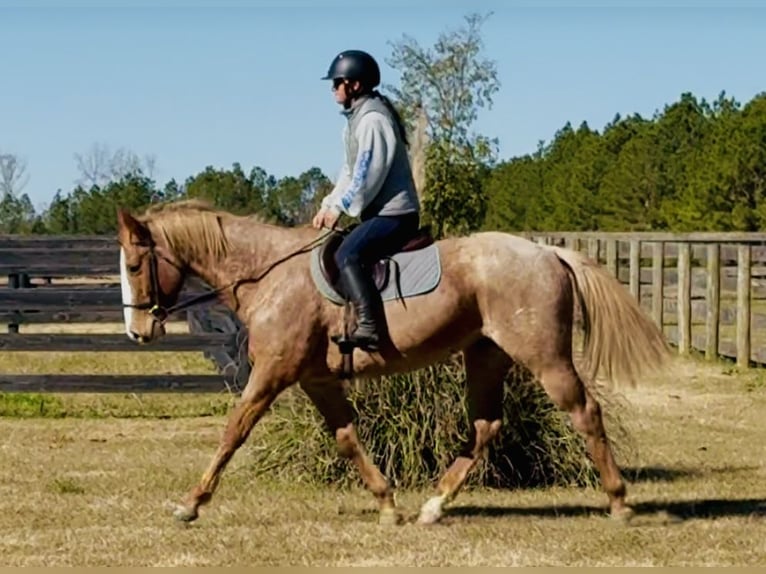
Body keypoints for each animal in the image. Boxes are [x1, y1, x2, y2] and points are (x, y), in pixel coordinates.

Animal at [116, 198, 670, 526]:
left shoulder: (273, 375)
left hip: (543, 356)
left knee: (584, 413)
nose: (138, 332)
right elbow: (346, 439)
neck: (267, 273)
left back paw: (619, 503)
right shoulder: (317, 380)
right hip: (485, 355)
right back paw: (434, 505)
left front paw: (190, 503)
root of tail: (547, 252)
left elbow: (233, 433)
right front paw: (386, 503)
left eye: (135, 264)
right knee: (486, 425)